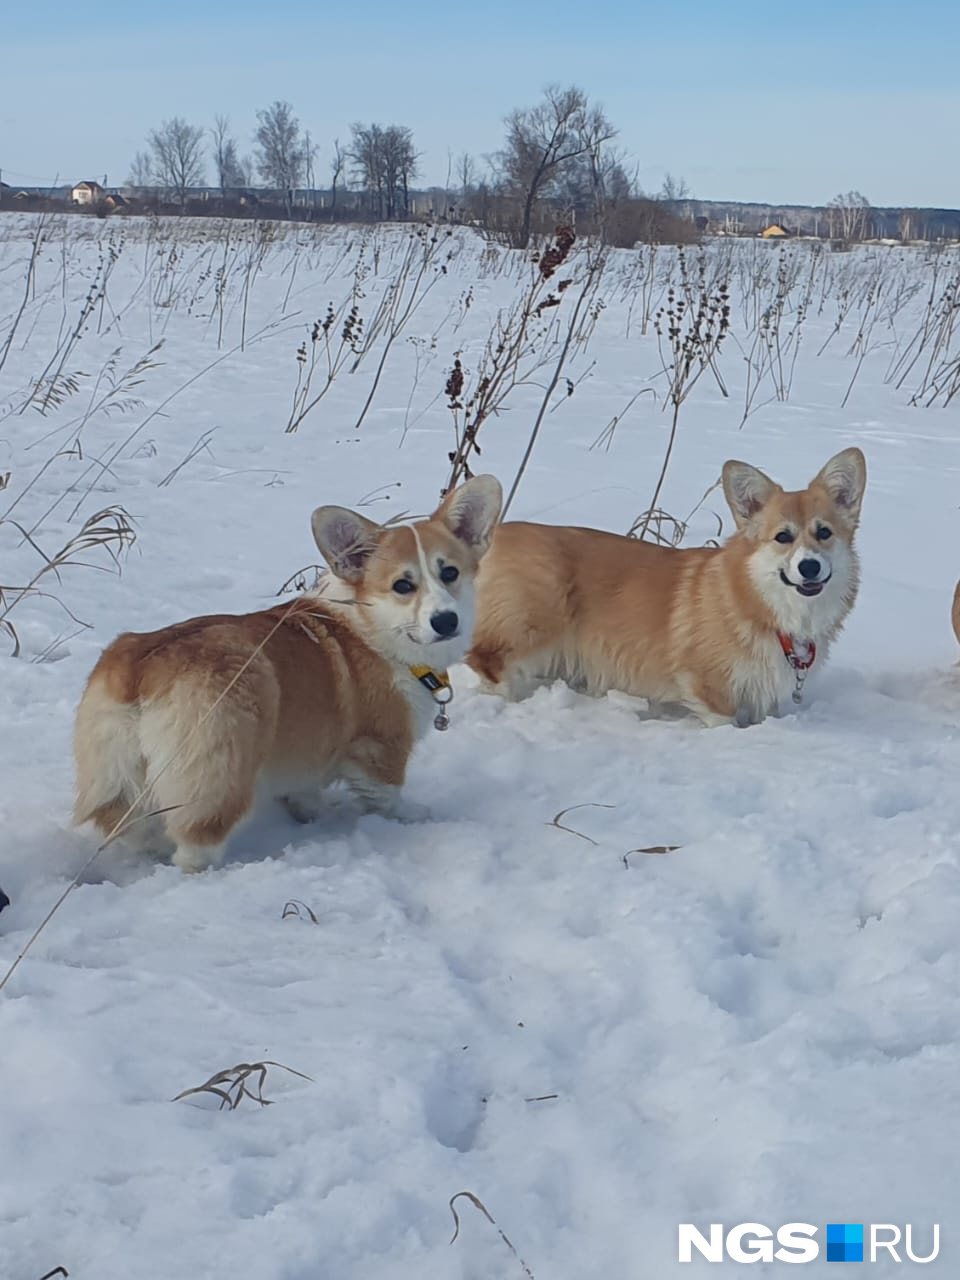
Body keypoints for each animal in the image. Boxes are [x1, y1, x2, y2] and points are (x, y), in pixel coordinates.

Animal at [73, 476, 504, 875]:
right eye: (402, 585)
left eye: (450, 573)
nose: (446, 621)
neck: (375, 627)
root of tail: (139, 669)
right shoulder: (380, 745)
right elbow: (387, 793)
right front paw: (409, 816)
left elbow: (303, 791)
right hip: (221, 770)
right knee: (197, 842)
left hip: (116, 776)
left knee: (131, 829)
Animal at [471, 450, 870, 727]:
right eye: (783, 537)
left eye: (824, 532)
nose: (809, 567)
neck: (766, 605)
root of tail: (496, 535)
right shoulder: (711, 686)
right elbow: (724, 720)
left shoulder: (762, 694)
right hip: (540, 611)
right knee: (487, 659)